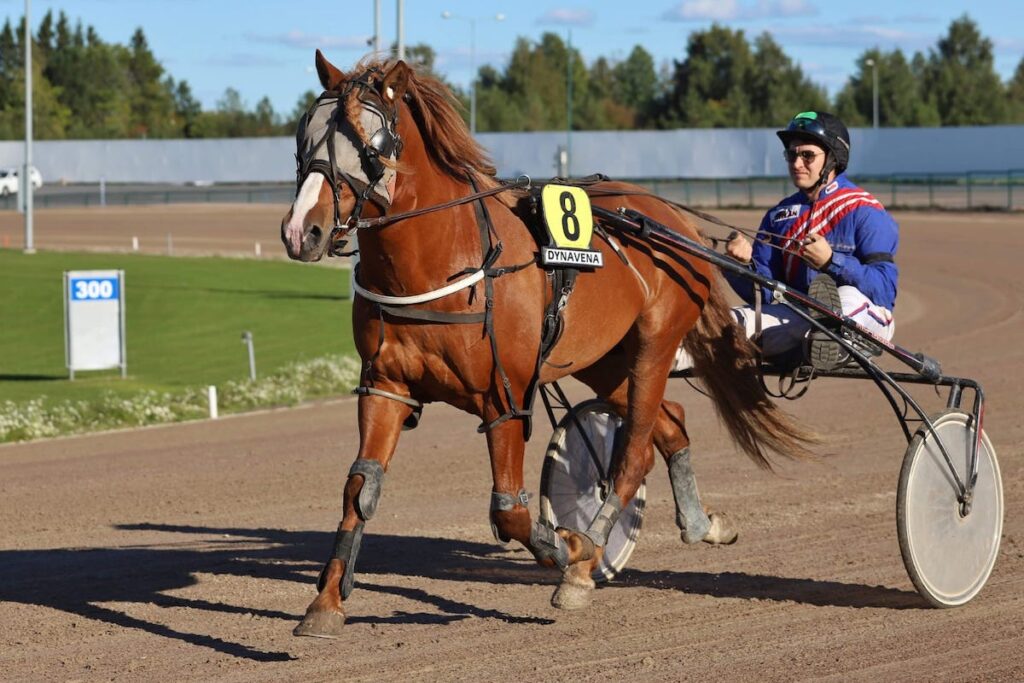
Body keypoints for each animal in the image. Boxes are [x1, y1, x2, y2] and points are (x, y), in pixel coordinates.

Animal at [282, 50, 815, 638]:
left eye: (370, 141)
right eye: (304, 136)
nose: (301, 231)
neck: (449, 260)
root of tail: (672, 221)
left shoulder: (505, 397)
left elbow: (509, 510)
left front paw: (569, 550)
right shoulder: (385, 387)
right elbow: (360, 488)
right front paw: (326, 602)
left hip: (654, 344)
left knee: (633, 455)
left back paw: (586, 563)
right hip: (604, 359)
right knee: (669, 423)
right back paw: (702, 524)